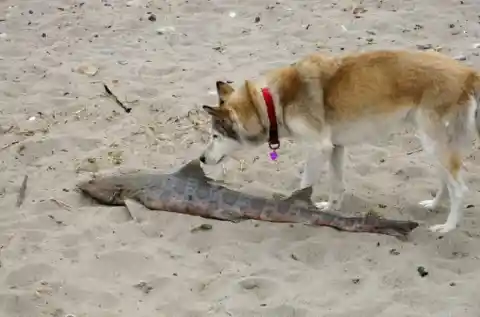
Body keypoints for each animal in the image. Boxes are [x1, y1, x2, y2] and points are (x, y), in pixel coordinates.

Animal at [198, 48, 480, 232]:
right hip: (436, 144)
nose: (201, 158)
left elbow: (305, 183)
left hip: (435, 144)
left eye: (215, 136)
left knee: (459, 188)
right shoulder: (335, 148)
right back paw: (433, 205)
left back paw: (448, 227)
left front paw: (297, 210)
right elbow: (336, 184)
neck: (270, 102)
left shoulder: (318, 148)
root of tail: (468, 73)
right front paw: (330, 208)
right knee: (446, 181)